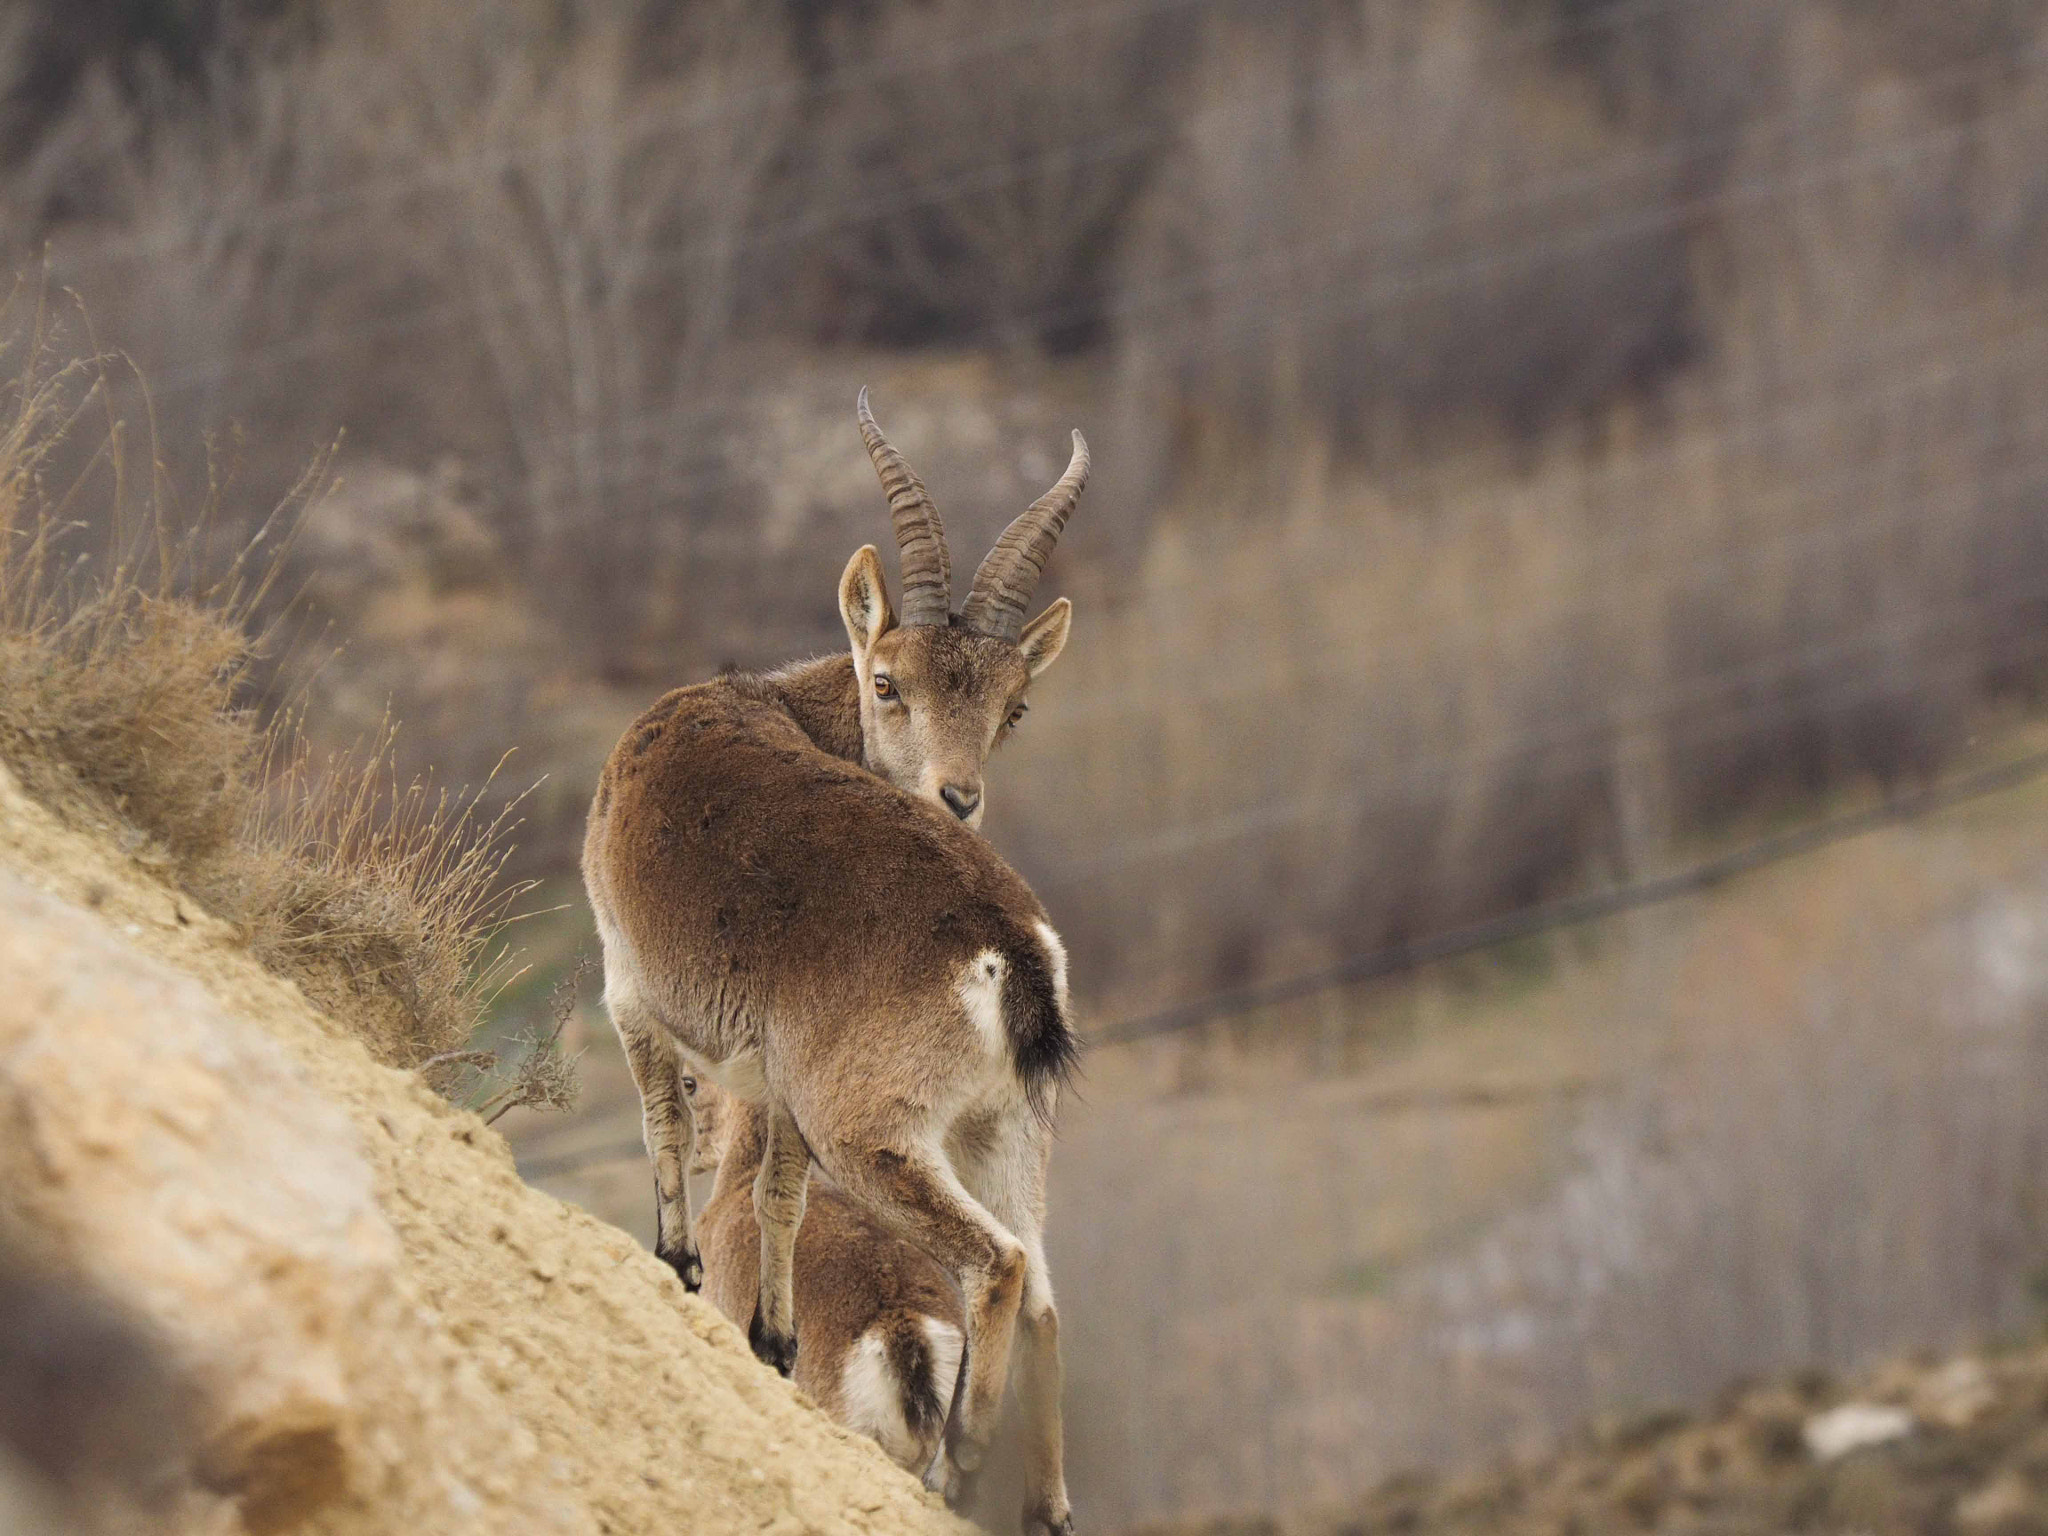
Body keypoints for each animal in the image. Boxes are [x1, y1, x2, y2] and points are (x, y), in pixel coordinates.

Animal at [582, 392, 1087, 1534]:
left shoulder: (628, 987)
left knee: (997, 1265)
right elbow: (778, 1195)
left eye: (1011, 707)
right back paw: (1042, 1507)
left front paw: (679, 1265)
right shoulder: (776, 1078)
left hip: (873, 1126)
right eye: (888, 682)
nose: (957, 797)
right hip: (1000, 1128)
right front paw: (769, 1338)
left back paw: (961, 1459)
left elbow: (662, 1123)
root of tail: (1007, 952)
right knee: (1043, 1293)